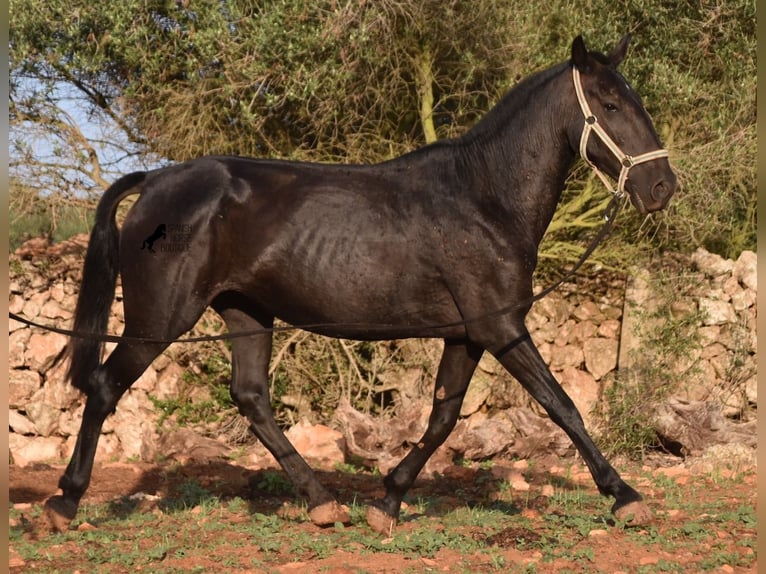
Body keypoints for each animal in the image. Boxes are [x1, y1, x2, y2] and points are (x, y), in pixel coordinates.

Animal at [43, 37, 680, 536]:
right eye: (609, 103)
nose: (662, 187)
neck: (483, 198)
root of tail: (156, 180)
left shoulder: (468, 333)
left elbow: (443, 417)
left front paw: (388, 500)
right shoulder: (500, 325)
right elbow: (561, 404)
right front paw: (625, 496)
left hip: (246, 313)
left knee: (251, 398)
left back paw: (323, 504)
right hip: (161, 318)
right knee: (105, 387)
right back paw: (64, 501)